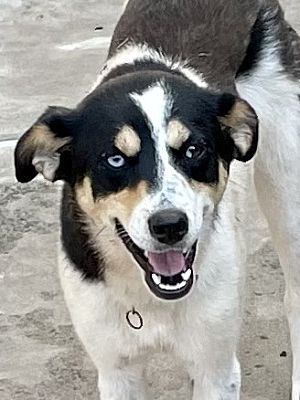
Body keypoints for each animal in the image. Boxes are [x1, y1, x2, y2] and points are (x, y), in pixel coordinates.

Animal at [13, 0, 300, 400]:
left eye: (194, 150)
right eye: (115, 159)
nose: (169, 226)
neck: (151, 299)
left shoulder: (216, 368)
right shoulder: (116, 371)